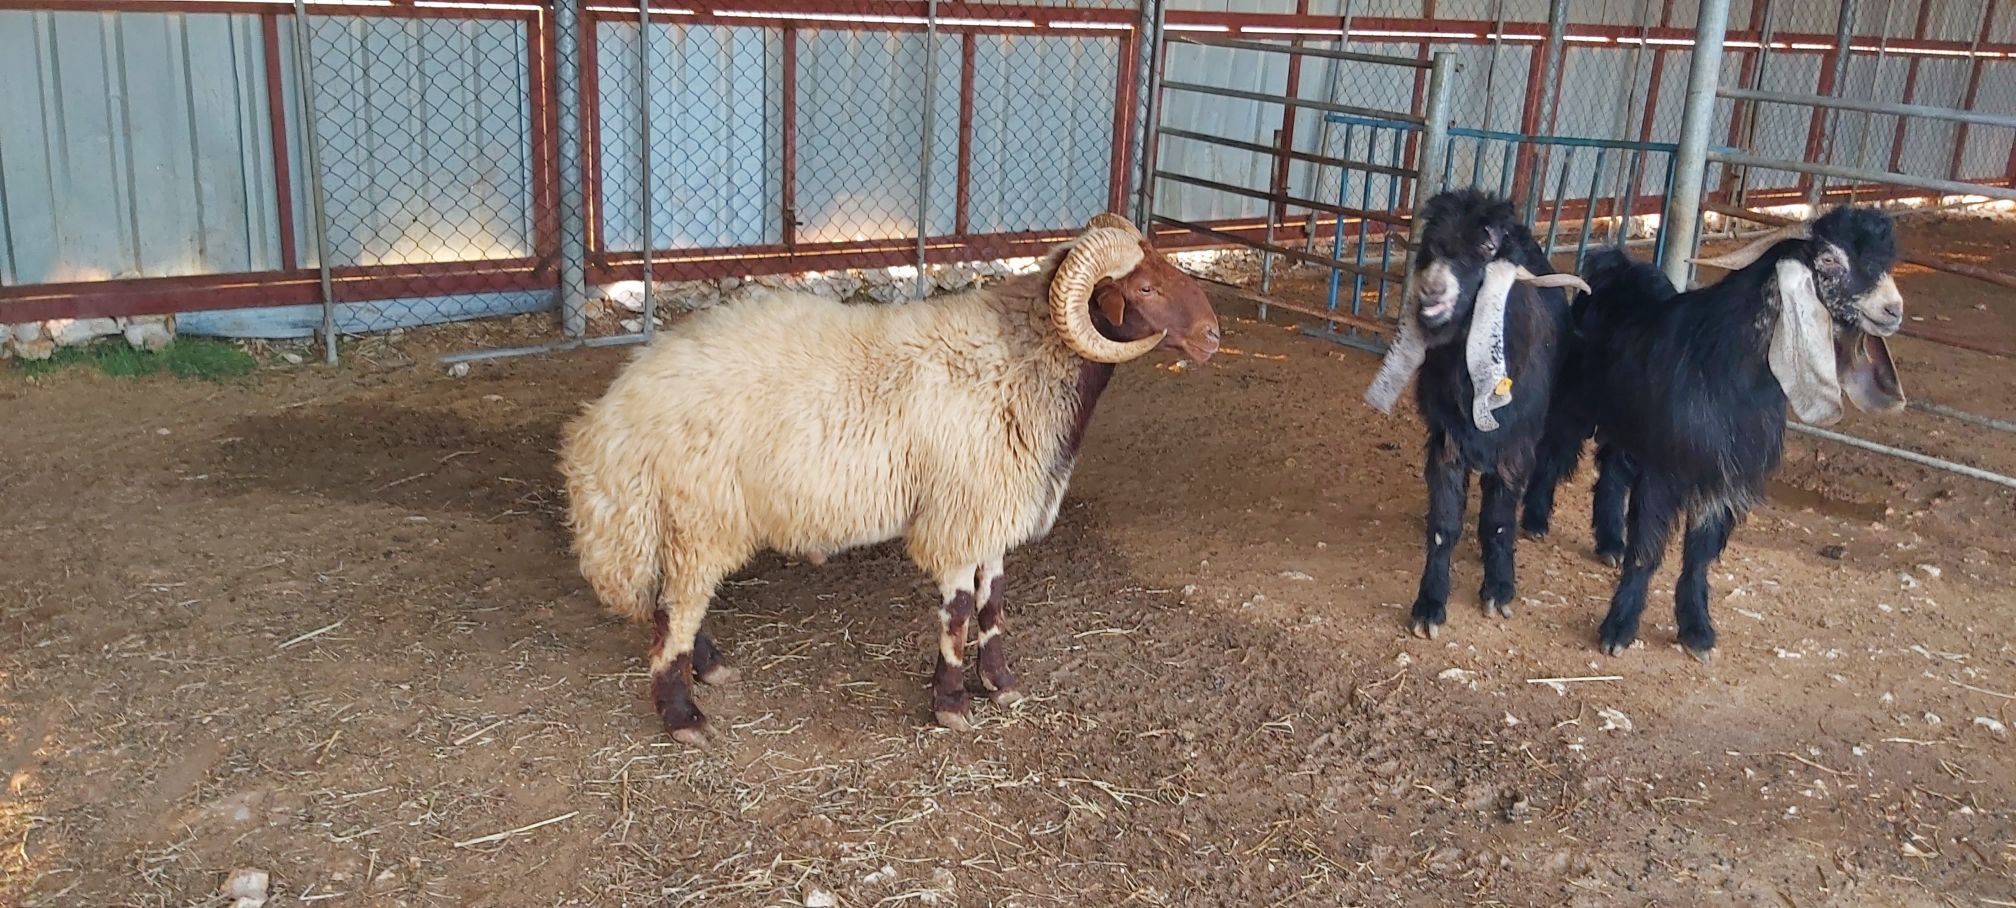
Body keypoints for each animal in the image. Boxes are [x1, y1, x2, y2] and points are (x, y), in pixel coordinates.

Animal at [558, 214, 1221, 742]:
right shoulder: (959, 512)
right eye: (1144, 285)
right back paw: (683, 717)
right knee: (673, 615)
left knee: (674, 603)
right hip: (698, 514)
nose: (1214, 335)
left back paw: (710, 666)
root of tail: (615, 412)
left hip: (683, 521)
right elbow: (958, 612)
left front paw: (999, 681)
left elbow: (993, 603)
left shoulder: (990, 507)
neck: (1021, 359)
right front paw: (951, 703)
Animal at [1364, 189, 1590, 640]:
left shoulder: (1515, 445)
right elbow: (1443, 525)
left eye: (1487, 246)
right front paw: (1429, 605)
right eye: (1431, 243)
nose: (1433, 290)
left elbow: (1498, 520)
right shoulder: (1446, 441)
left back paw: (1534, 521)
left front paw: (1499, 591)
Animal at [1520, 206, 1906, 659]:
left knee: (1612, 468)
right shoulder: (1667, 468)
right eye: (1828, 258)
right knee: (1555, 450)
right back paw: (1536, 519)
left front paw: (1696, 630)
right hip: (1578, 401)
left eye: (1888, 261)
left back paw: (1611, 541)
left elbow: (1698, 557)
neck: (1728, 364)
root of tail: (1616, 265)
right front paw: (1619, 627)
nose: (1892, 310)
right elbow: (1647, 550)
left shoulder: (1725, 477)